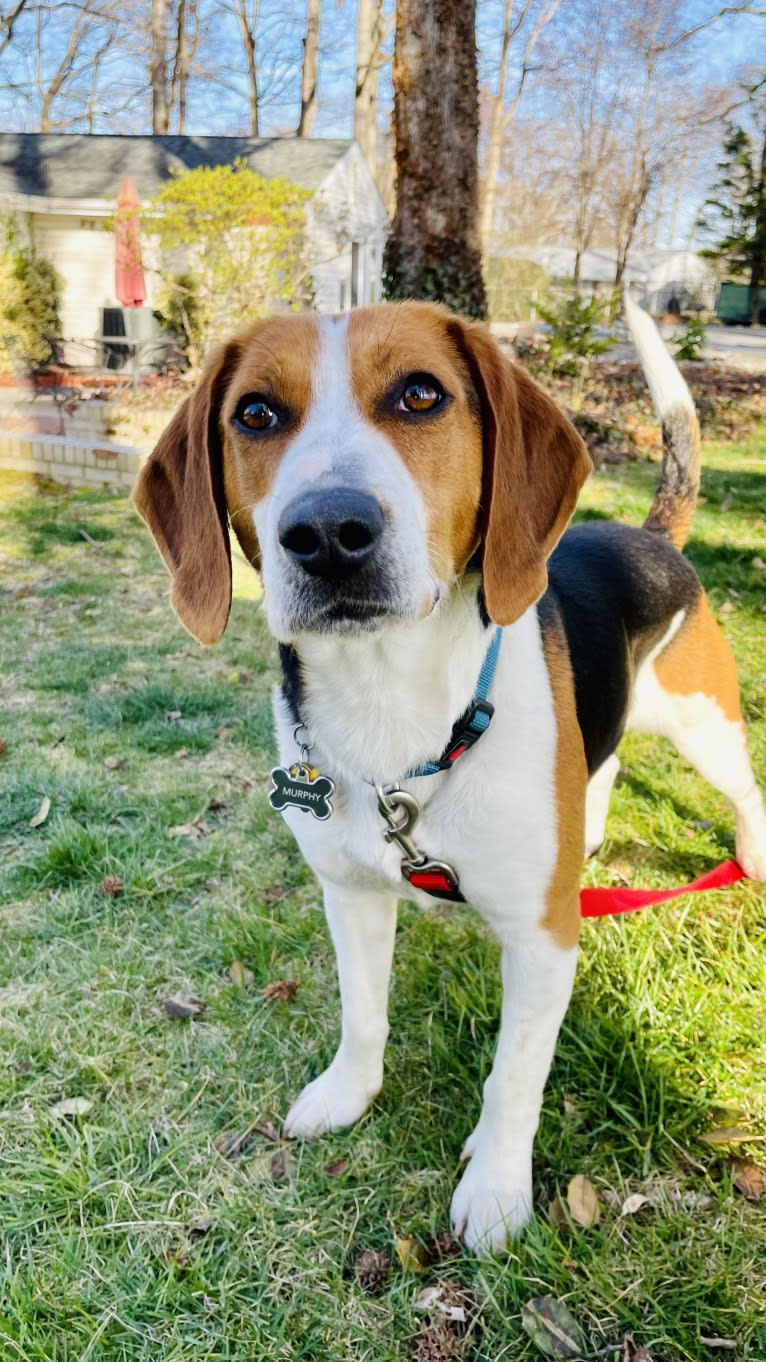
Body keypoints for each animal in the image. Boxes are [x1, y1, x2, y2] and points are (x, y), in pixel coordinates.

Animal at [135, 298, 763, 1253]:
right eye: (256, 414)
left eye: (421, 394)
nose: (328, 533)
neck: (392, 714)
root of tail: (647, 534)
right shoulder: (350, 895)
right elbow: (362, 1012)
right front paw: (348, 1094)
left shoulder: (544, 940)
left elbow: (514, 1078)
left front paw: (497, 1188)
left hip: (705, 726)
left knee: (743, 786)